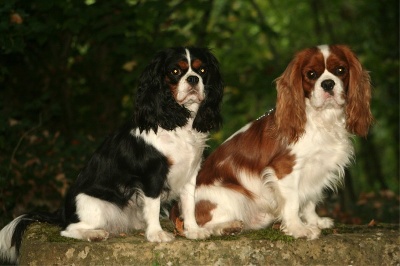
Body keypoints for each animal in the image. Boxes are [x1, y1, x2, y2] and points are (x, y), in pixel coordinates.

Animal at [172, 44, 372, 240]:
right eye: (311, 74)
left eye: (341, 70)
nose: (328, 83)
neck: (322, 118)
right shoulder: (285, 169)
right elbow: (293, 202)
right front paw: (298, 228)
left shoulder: (317, 170)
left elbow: (309, 200)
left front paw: (314, 221)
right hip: (234, 195)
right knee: (204, 224)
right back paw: (227, 227)